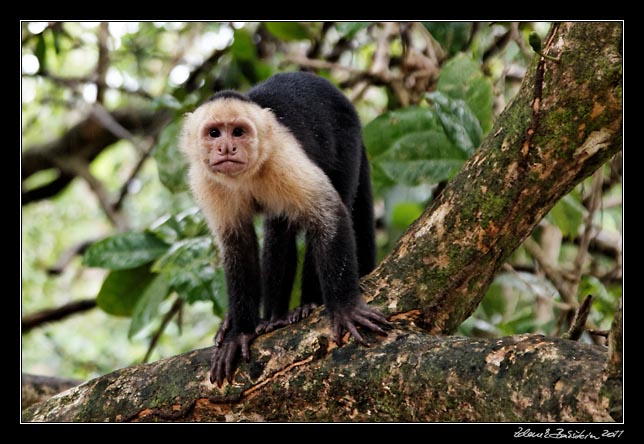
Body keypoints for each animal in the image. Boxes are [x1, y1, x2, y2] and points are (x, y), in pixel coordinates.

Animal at [181, 71, 392, 386]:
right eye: (214, 133)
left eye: (238, 132)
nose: (226, 148)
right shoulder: (206, 181)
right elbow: (238, 247)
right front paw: (240, 332)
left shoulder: (282, 156)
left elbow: (328, 213)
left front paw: (345, 307)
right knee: (279, 229)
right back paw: (272, 318)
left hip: (347, 138)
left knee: (334, 204)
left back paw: (308, 304)